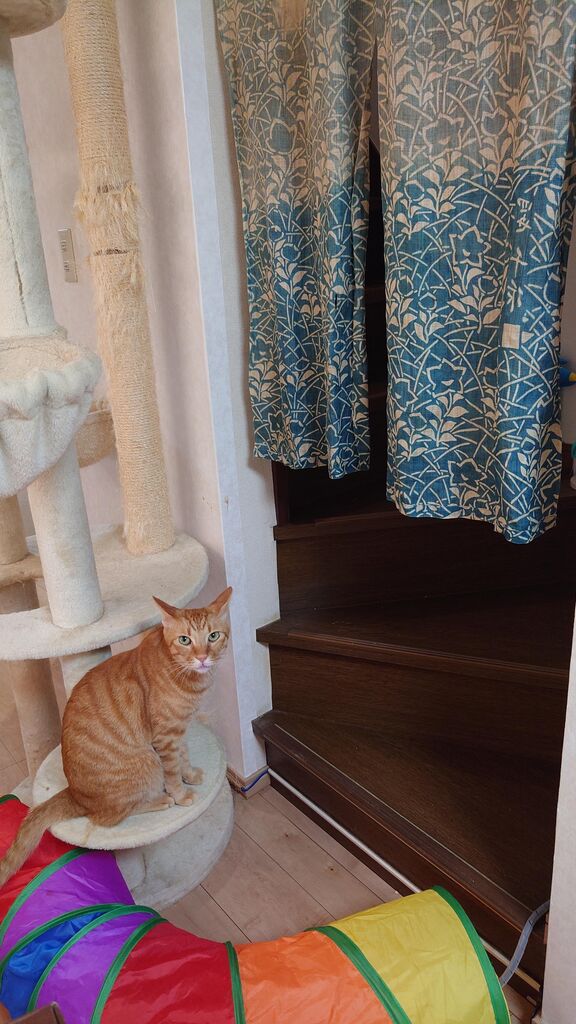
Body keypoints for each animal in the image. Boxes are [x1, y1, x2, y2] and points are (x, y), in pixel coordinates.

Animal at [0, 587, 232, 889]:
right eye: (185, 640)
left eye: (213, 636)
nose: (203, 657)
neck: (183, 674)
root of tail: (74, 794)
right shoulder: (165, 737)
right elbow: (172, 771)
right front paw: (180, 793)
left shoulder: (179, 730)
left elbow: (184, 755)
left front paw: (190, 774)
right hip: (146, 762)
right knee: (109, 817)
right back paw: (160, 800)